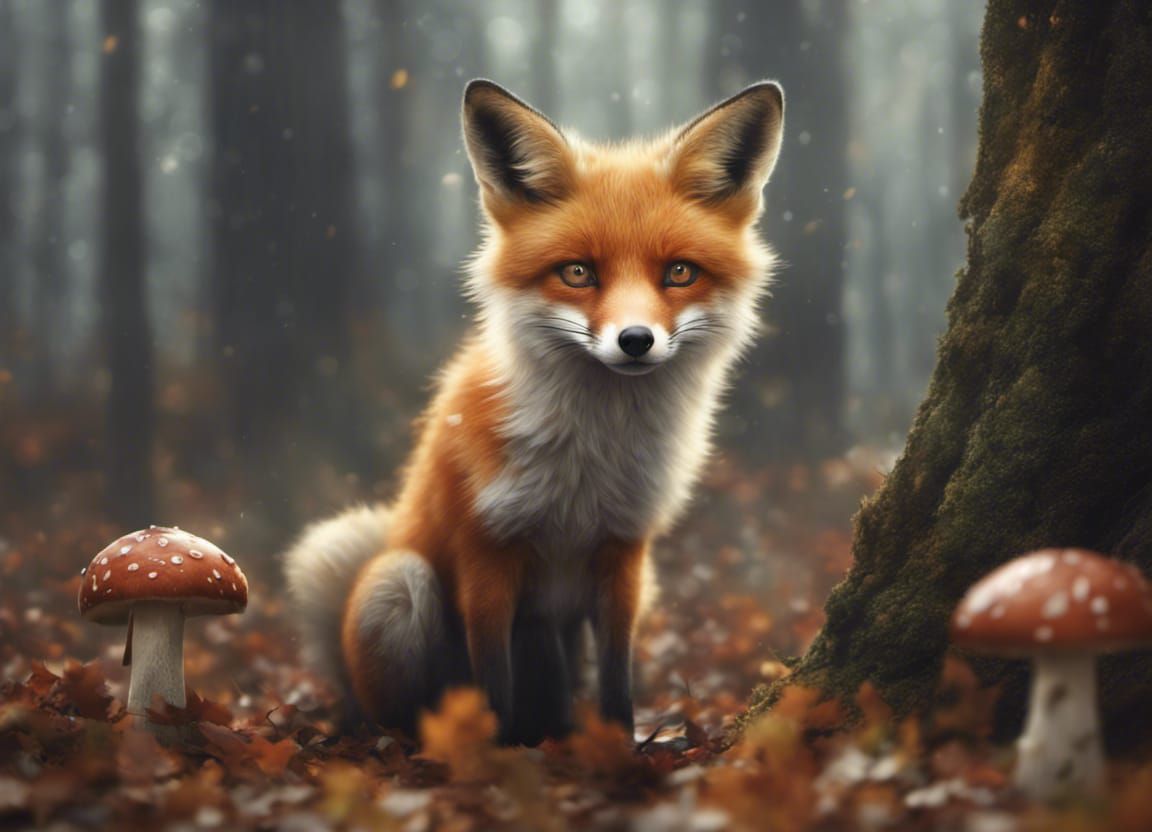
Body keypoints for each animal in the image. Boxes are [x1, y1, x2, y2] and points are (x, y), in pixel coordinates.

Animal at [283, 78, 785, 745]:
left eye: (679, 273)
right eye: (578, 272)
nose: (635, 340)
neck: (593, 456)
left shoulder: (625, 553)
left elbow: (618, 684)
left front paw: (619, 749)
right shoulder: (486, 556)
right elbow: (493, 686)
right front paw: (497, 753)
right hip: (400, 585)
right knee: (404, 713)